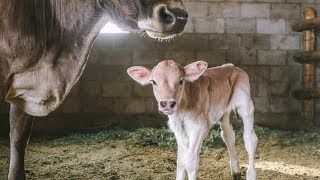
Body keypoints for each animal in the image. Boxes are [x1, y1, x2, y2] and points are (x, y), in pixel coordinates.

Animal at [127, 59, 258, 179]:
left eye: (181, 81)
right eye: (153, 82)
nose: (167, 103)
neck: (181, 112)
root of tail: (231, 66)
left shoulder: (199, 127)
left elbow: (190, 162)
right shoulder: (178, 130)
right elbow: (181, 161)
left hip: (246, 106)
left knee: (250, 139)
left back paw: (251, 174)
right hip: (223, 112)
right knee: (228, 136)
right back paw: (236, 172)